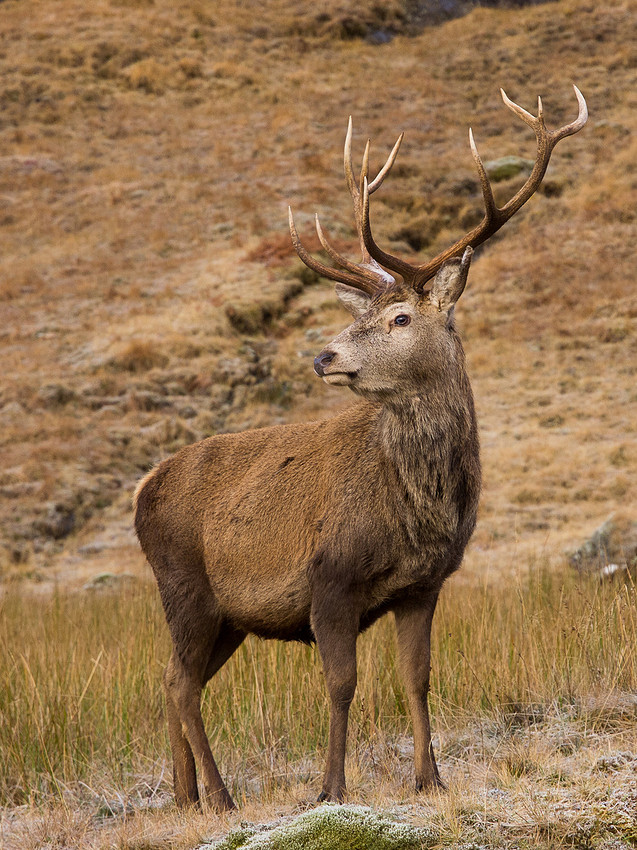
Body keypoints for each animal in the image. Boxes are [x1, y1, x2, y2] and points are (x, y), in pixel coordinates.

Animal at [134, 85, 587, 811]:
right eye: (359, 317)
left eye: (400, 318)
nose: (324, 355)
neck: (415, 508)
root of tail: (142, 490)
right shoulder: (327, 578)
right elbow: (341, 685)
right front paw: (330, 788)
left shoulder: (424, 584)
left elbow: (417, 677)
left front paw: (430, 777)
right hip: (184, 585)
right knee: (178, 682)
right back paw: (220, 796)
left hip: (227, 615)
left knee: (177, 680)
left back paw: (186, 798)